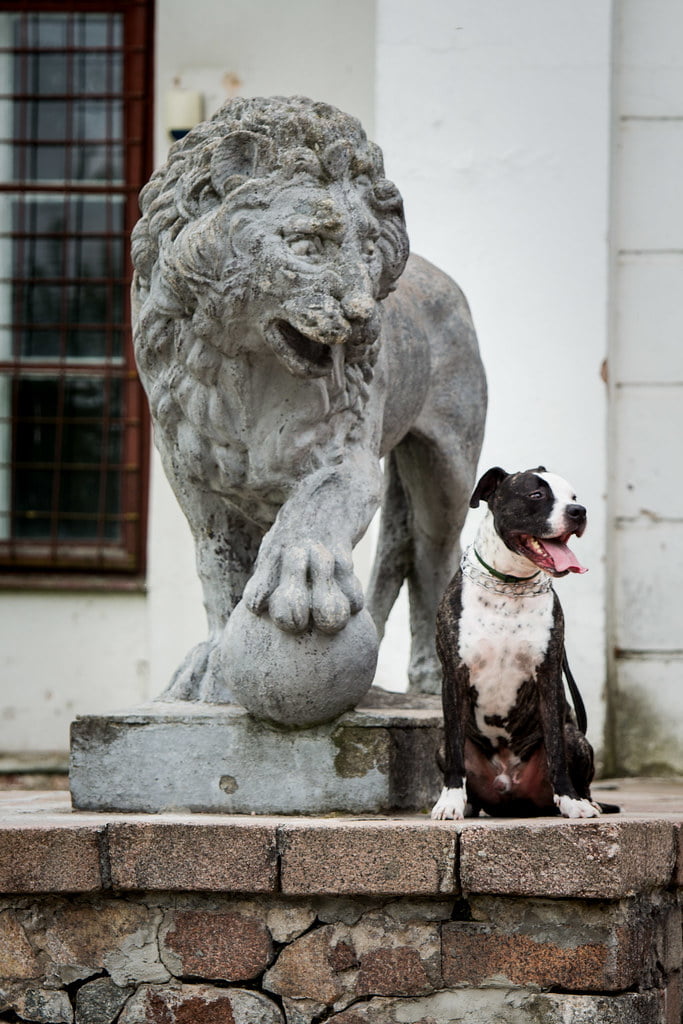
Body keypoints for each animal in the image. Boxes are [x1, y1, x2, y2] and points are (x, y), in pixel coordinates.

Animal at [432, 468, 610, 819]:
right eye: (536, 495)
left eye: (573, 496)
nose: (578, 511)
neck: (509, 587)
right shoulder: (455, 675)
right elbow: (457, 751)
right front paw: (449, 802)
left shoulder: (549, 676)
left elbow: (555, 748)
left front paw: (571, 800)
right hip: (441, 744)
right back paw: (467, 804)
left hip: (577, 738)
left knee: (571, 757)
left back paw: (583, 800)